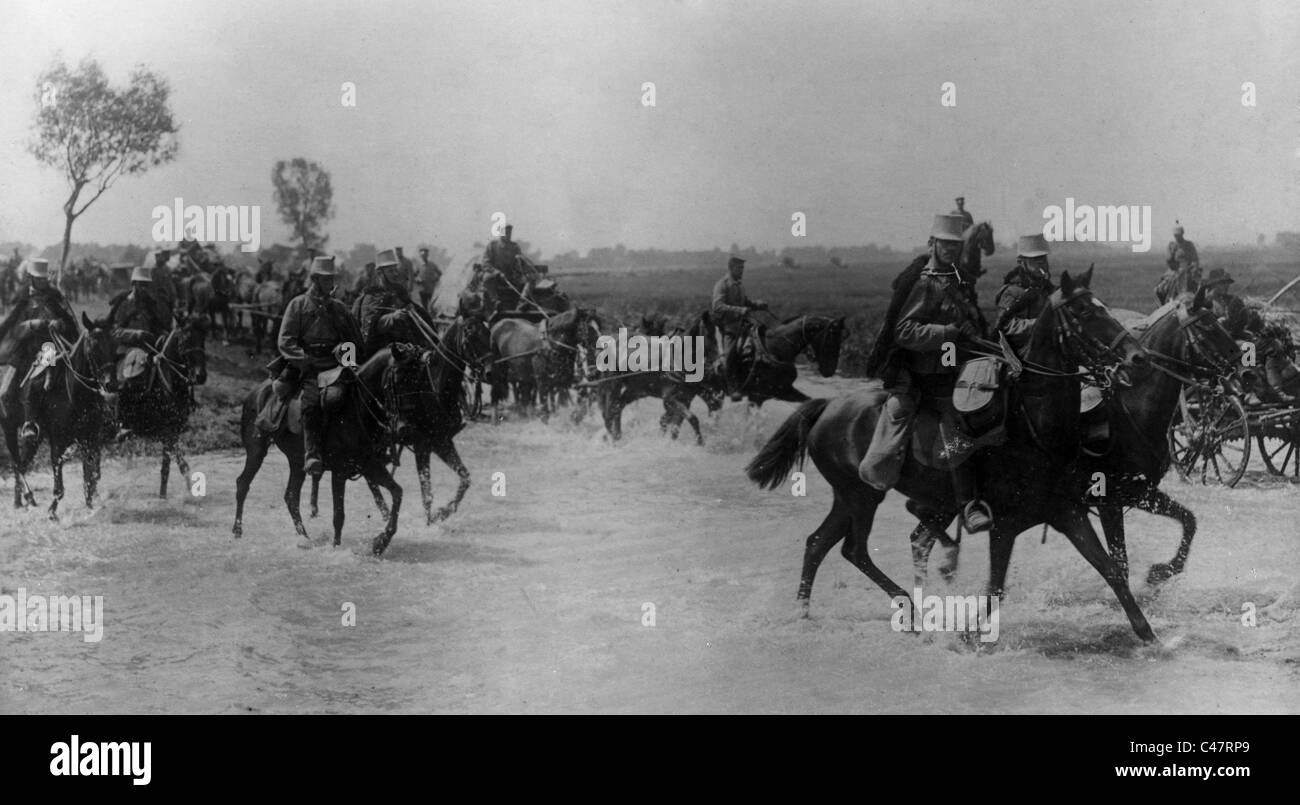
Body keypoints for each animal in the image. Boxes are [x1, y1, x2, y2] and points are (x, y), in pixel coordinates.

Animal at [5, 314, 115, 517]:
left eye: (114, 344)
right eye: (94, 346)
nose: (111, 384)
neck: (74, 392)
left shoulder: (89, 439)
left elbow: (91, 475)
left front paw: (91, 505)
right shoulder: (58, 441)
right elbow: (59, 482)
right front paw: (52, 512)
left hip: (34, 439)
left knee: (21, 465)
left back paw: (21, 501)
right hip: (9, 429)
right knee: (17, 465)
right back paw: (26, 498)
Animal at [233, 348, 403, 556]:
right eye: (400, 375)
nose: (403, 425)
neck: (356, 408)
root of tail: (255, 392)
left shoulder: (369, 464)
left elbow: (397, 493)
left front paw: (381, 542)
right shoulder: (339, 471)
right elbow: (339, 514)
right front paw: (336, 546)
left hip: (297, 461)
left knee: (291, 496)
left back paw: (304, 537)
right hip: (256, 450)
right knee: (243, 483)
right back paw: (237, 530)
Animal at [748, 267, 1164, 645]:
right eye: (1084, 312)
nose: (1139, 358)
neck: (1033, 427)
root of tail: (827, 406)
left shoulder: (1066, 512)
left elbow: (1110, 568)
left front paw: (1148, 635)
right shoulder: (1005, 525)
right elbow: (996, 587)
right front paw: (968, 635)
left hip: (850, 497)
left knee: (818, 543)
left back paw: (806, 612)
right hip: (862, 495)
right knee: (854, 549)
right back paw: (908, 609)